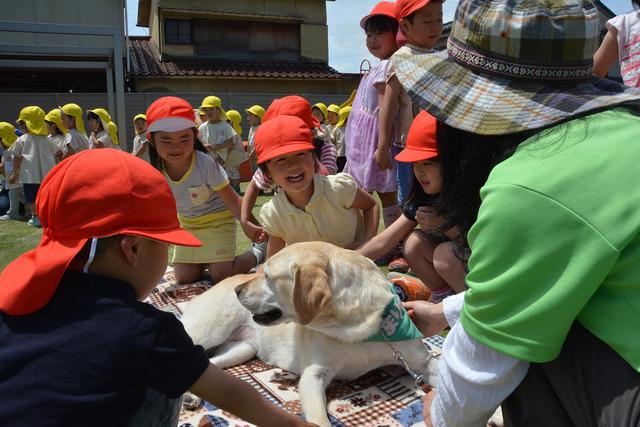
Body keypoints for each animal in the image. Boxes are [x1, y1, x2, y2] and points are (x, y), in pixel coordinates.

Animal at [182, 242, 438, 426]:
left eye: (268, 276)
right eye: (261, 271)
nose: (238, 290)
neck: (357, 328)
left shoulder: (423, 363)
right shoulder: (313, 376)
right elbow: (320, 420)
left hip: (243, 349)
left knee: (207, 365)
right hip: (208, 332)